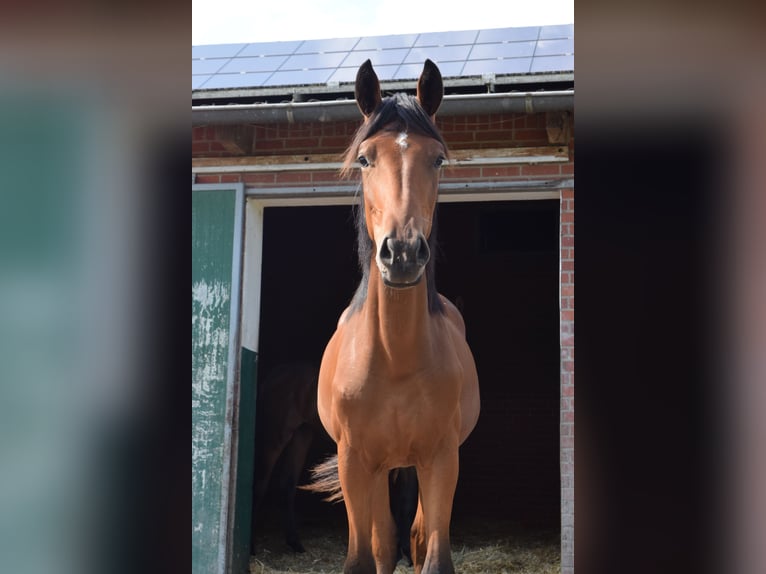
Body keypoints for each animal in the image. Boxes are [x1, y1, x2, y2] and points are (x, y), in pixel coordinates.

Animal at [306, 59, 480, 574]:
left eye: (437, 159)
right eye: (366, 159)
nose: (401, 253)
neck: (395, 357)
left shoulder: (441, 459)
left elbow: (433, 553)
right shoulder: (354, 463)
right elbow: (367, 554)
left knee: (415, 535)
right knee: (385, 540)